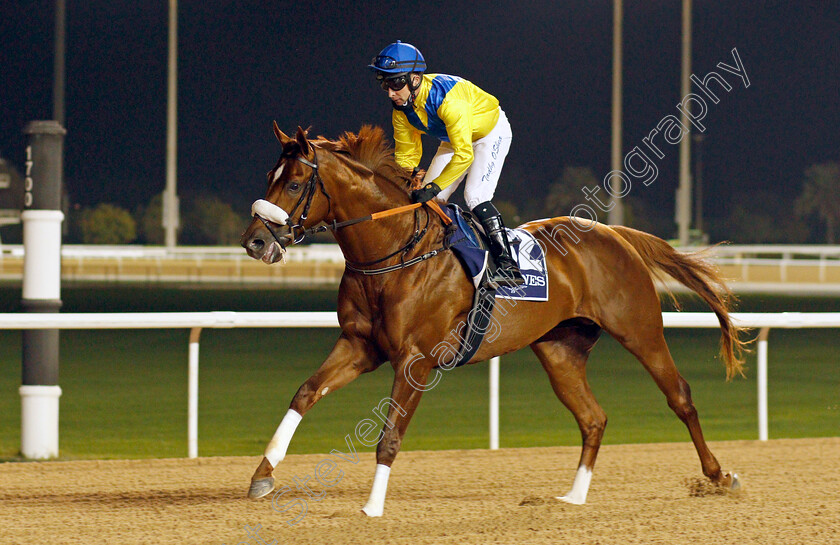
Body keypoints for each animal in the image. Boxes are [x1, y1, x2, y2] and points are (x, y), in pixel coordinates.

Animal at [240, 124, 744, 520]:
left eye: (295, 183)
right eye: (268, 177)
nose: (254, 241)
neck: (395, 250)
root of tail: (614, 233)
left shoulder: (416, 360)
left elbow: (389, 436)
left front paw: (372, 507)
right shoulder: (360, 345)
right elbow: (305, 393)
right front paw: (262, 476)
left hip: (640, 330)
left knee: (679, 397)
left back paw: (718, 476)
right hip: (560, 349)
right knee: (593, 418)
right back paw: (573, 497)